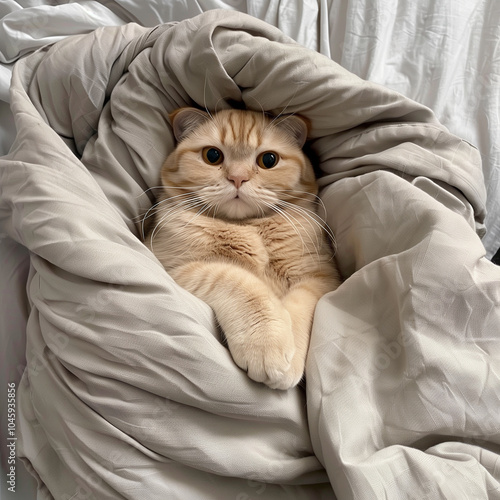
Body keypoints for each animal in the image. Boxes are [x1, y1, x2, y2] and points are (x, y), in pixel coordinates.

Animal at [143, 106, 342, 390]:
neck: (249, 228)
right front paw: (267, 342)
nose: (238, 178)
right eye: (212, 155)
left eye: (268, 160)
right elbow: (242, 285)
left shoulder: (319, 277)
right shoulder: (175, 266)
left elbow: (298, 310)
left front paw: (289, 357)